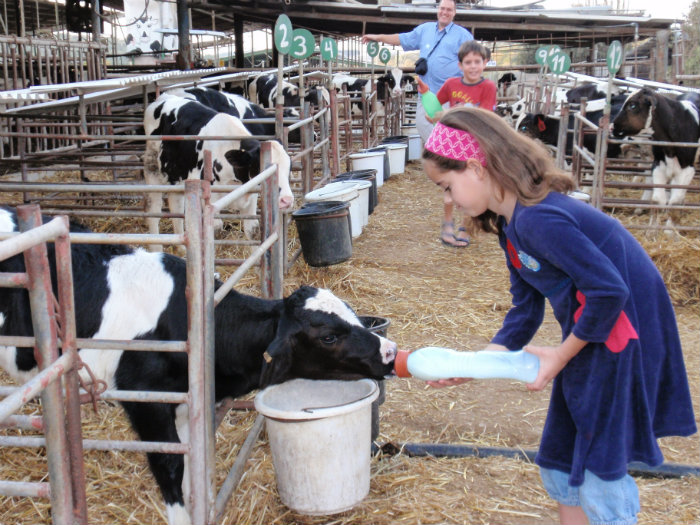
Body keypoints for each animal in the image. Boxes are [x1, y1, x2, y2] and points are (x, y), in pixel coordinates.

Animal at [0, 206, 396, 524]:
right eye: (328, 336)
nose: (391, 351)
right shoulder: (145, 400)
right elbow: (169, 463)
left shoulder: (183, 401)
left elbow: (189, 461)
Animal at [145, 92, 292, 244]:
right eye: (263, 168)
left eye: (289, 167)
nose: (287, 200)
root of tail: (164, 96)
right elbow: (216, 230)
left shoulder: (251, 197)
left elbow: (253, 231)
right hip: (153, 170)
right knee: (153, 211)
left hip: (176, 177)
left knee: (176, 207)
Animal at [608, 87, 696, 225]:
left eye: (632, 105)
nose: (611, 127)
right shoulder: (657, 165)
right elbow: (658, 200)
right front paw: (653, 227)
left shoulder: (687, 170)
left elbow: (674, 204)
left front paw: (669, 229)